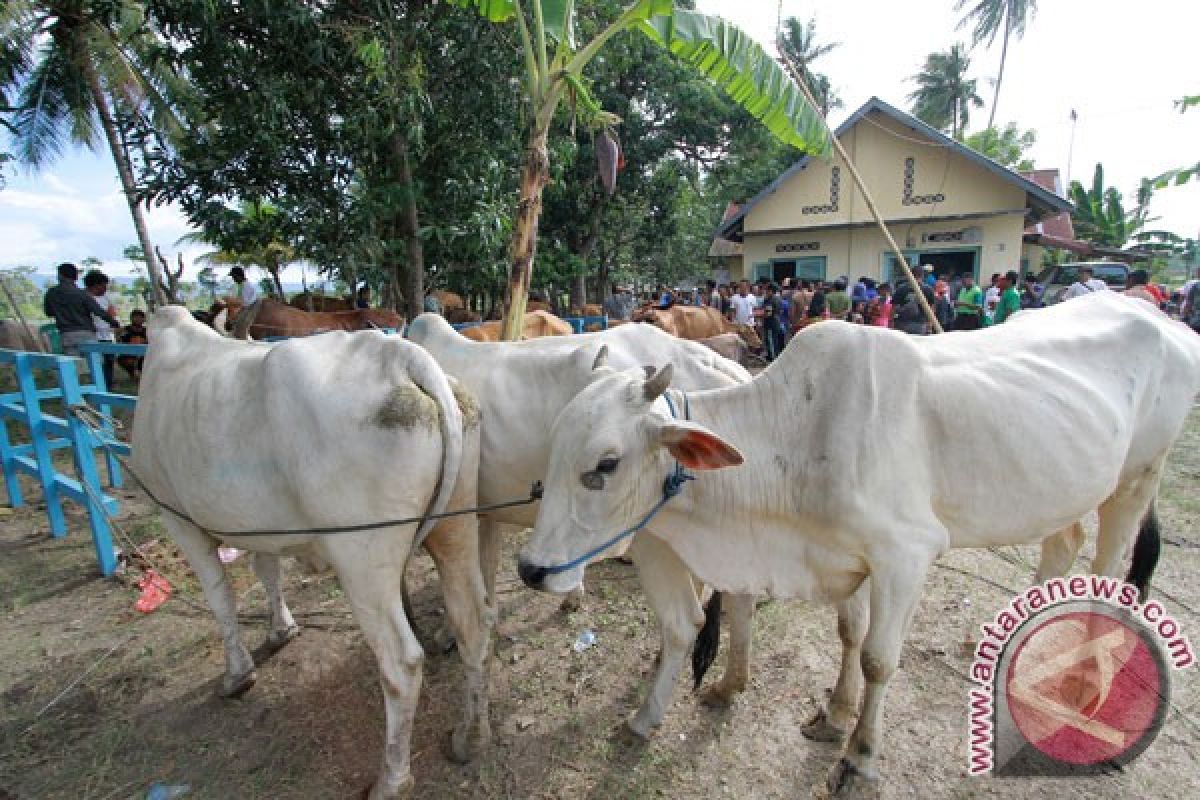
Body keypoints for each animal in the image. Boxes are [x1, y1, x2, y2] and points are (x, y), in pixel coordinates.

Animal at [138, 309, 494, 800]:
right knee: (472, 624)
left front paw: (237, 676)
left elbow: (220, 598)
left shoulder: (177, 516)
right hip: (456, 529)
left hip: (362, 560)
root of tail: (401, 356)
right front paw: (281, 630)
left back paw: (392, 779)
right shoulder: (259, 527)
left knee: (401, 663)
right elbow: (266, 569)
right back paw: (469, 737)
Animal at [408, 311, 753, 734]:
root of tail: (719, 365)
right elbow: (485, 569)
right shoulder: (485, 511)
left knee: (689, 615)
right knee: (737, 596)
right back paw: (728, 682)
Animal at [518, 292, 1200, 796]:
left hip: (1136, 478)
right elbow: (849, 634)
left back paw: (1084, 676)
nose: (530, 569)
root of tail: (1162, 318)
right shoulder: (846, 556)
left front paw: (860, 758)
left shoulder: (905, 555)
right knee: (1065, 541)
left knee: (1109, 565)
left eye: (604, 465)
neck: (795, 439)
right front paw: (836, 716)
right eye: (553, 450)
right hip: (1060, 488)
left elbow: (878, 659)